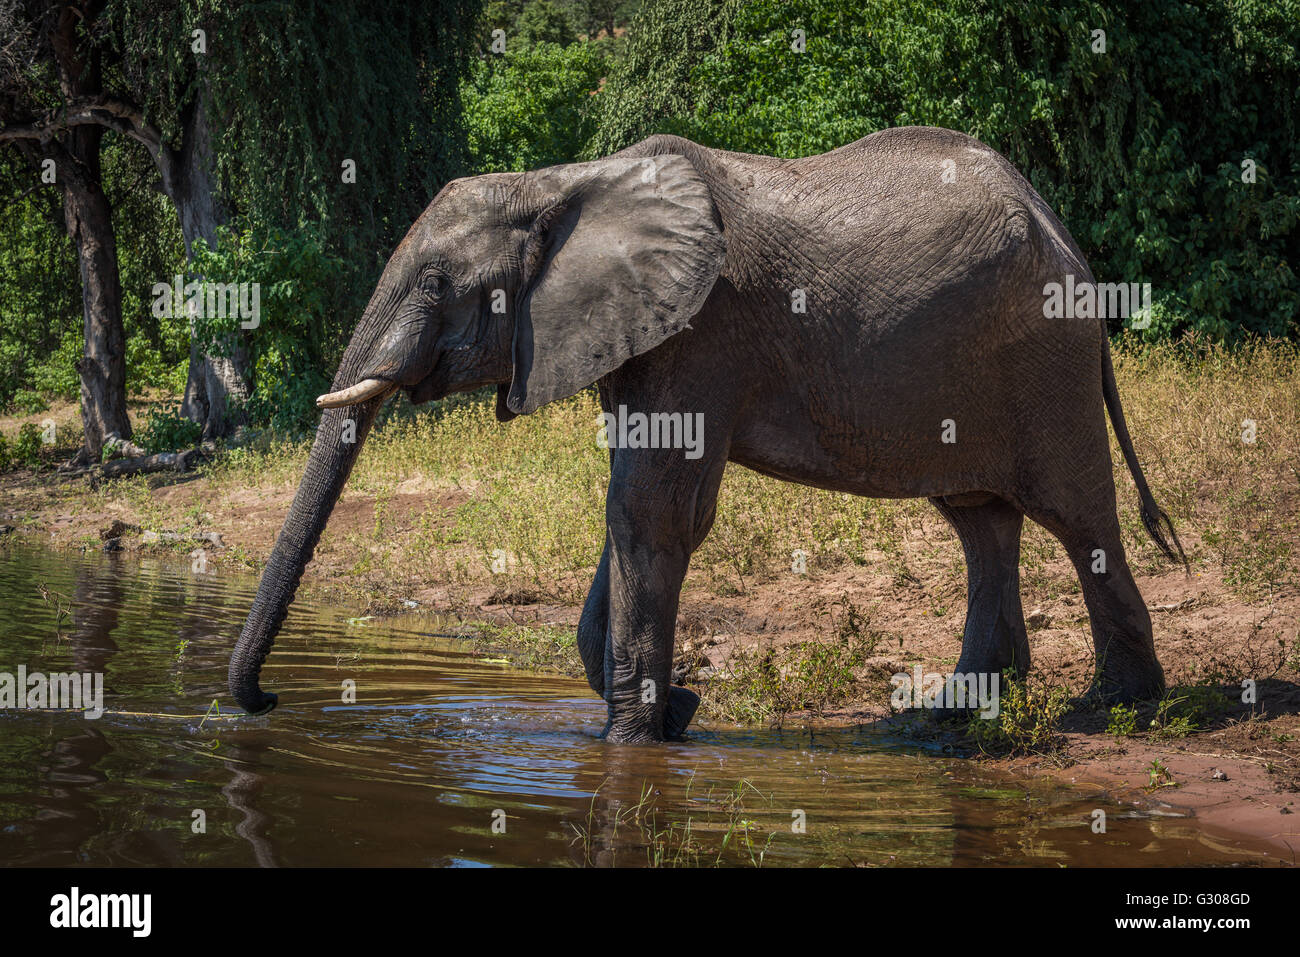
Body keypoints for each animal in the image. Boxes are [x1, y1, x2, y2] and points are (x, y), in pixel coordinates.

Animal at [228, 126, 1185, 743]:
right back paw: (957, 711)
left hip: (1045, 357)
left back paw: (1116, 708)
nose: (266, 702)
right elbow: (632, 509)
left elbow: (652, 510)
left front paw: (632, 741)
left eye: (433, 282)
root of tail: (1063, 232)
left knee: (1076, 515)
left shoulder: (700, 332)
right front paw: (675, 713)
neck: (561, 183)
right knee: (981, 518)